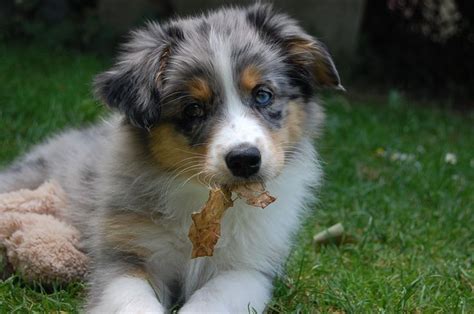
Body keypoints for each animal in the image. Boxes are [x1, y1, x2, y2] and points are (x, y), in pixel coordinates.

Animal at [0, 3, 342, 312]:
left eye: (263, 95)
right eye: (193, 109)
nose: (244, 159)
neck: (202, 198)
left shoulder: (249, 267)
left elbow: (214, 298)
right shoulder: (122, 255)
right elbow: (135, 301)